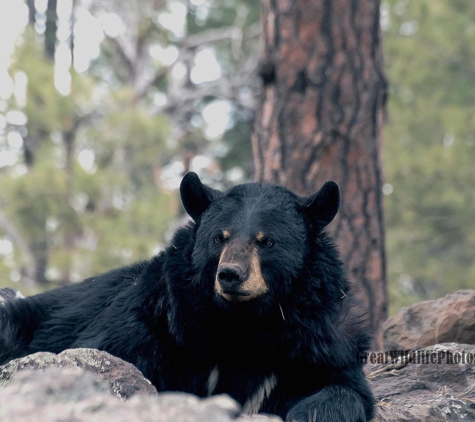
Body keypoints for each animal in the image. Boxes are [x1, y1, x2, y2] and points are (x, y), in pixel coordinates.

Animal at [0, 172, 376, 422]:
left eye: (266, 241)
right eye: (220, 238)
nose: (230, 275)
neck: (246, 323)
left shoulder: (320, 341)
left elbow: (346, 389)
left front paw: (308, 412)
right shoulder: (161, 323)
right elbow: (108, 356)